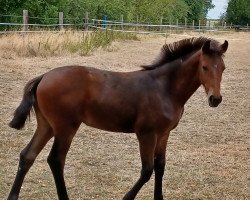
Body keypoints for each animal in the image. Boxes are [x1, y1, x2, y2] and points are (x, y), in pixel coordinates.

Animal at [7, 36, 228, 199]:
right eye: (204, 67)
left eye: (223, 68)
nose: (215, 99)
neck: (164, 88)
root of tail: (43, 76)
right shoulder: (146, 134)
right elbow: (147, 170)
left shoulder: (164, 134)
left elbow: (160, 166)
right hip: (65, 127)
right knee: (55, 160)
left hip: (47, 125)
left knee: (27, 155)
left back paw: (13, 195)